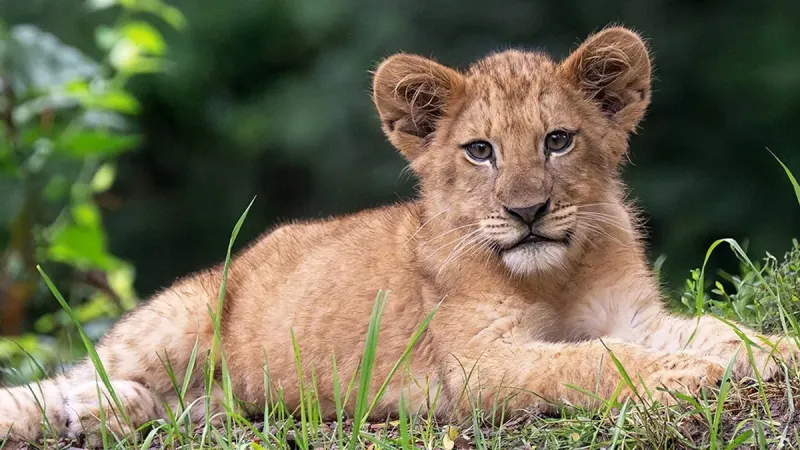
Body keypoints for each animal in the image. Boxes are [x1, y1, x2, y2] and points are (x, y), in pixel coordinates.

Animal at [1, 26, 796, 446]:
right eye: (480, 151)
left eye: (558, 141)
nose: (527, 212)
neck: (556, 272)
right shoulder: (477, 366)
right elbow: (592, 361)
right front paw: (686, 377)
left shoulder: (636, 316)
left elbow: (719, 331)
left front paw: (775, 350)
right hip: (185, 315)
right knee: (78, 373)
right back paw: (82, 408)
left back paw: (108, 414)